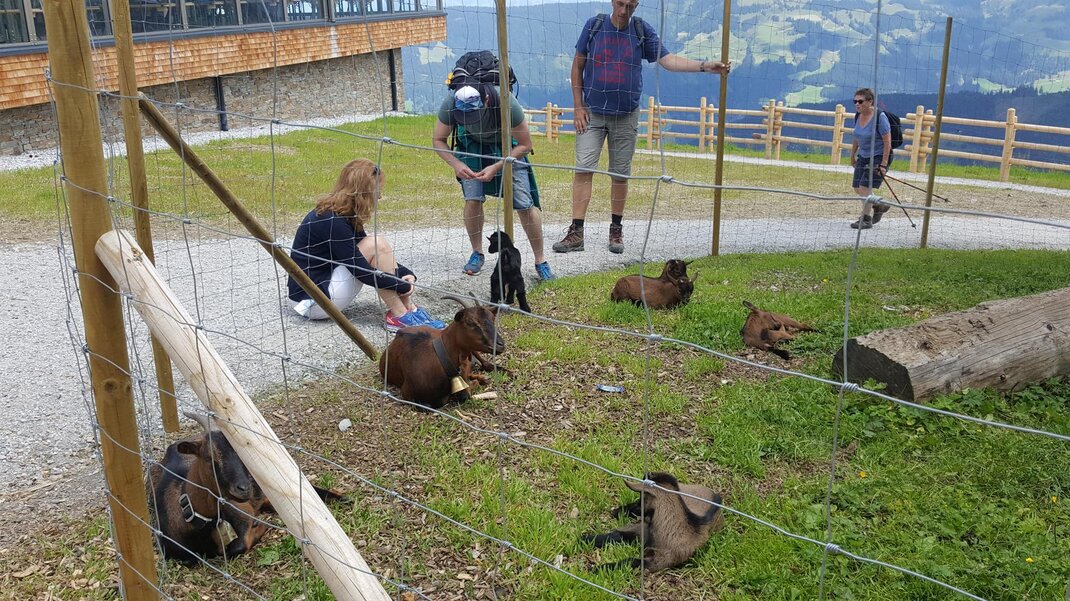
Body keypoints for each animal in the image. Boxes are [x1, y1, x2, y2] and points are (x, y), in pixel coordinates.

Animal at [147, 412, 346, 565]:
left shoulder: (242, 513)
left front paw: (261, 526)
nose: (244, 488)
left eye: (242, 453)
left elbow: (239, 545)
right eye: (209, 458)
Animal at [582, 472, 724, 571]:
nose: (618, 512)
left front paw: (598, 569)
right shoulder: (641, 530)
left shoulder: (658, 561)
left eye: (642, 497)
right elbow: (618, 535)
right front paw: (585, 539)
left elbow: (633, 561)